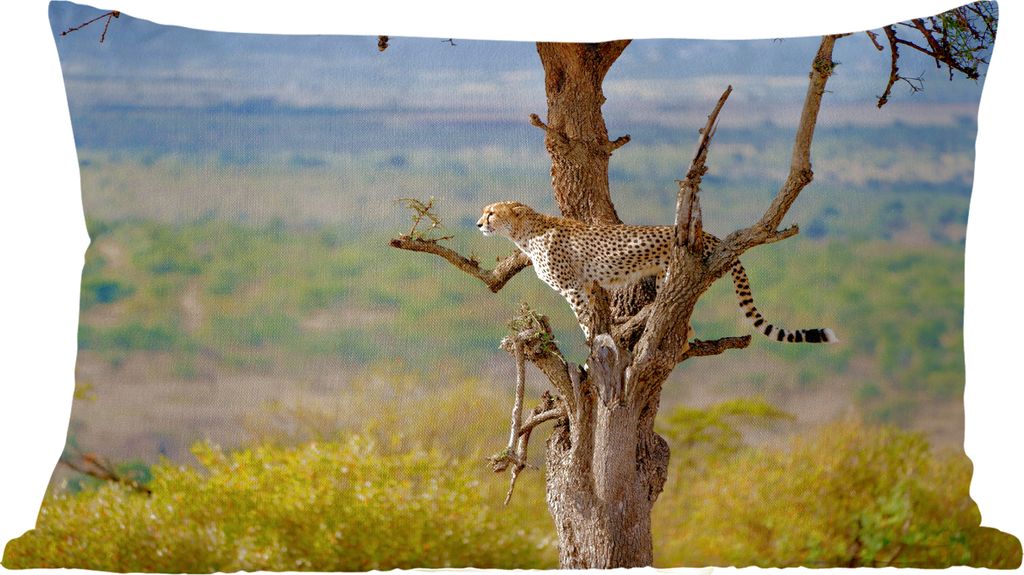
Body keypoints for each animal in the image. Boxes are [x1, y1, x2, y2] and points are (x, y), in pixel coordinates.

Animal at [477, 200, 838, 344]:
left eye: (491, 213)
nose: (479, 224)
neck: (526, 232)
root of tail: (710, 235)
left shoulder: (572, 288)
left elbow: (585, 321)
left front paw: (593, 348)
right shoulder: (588, 285)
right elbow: (594, 316)